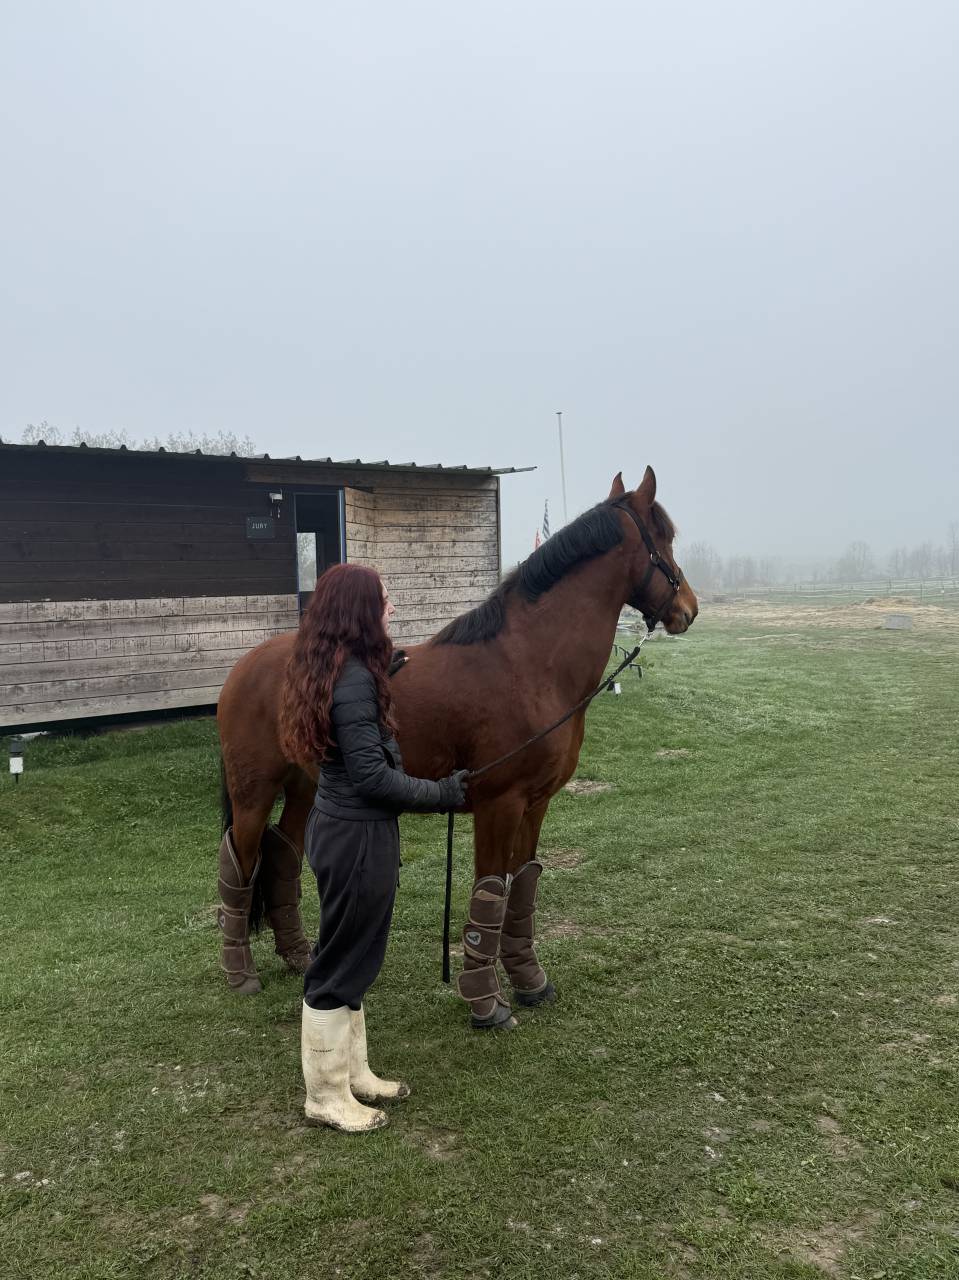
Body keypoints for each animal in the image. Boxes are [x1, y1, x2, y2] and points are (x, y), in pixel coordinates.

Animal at [215, 466, 698, 1027]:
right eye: (663, 538)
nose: (689, 608)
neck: (531, 663)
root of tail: (244, 666)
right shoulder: (498, 805)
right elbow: (488, 894)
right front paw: (487, 1003)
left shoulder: (535, 805)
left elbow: (520, 890)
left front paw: (530, 981)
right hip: (252, 793)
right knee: (241, 863)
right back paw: (240, 974)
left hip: (303, 788)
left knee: (284, 855)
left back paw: (298, 955)